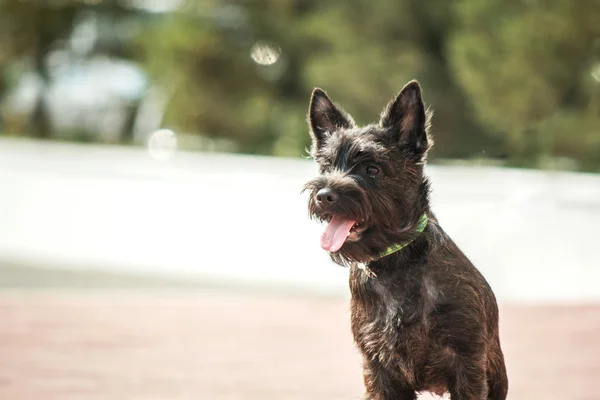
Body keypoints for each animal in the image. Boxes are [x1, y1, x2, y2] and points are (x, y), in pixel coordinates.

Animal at [304, 79, 506, 398]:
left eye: (372, 169)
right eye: (326, 167)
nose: (324, 195)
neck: (395, 264)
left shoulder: (468, 363)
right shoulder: (379, 369)